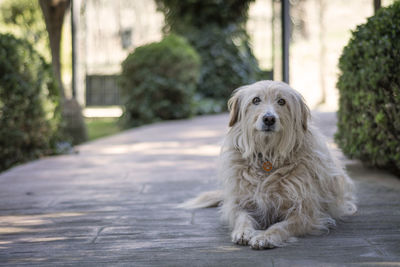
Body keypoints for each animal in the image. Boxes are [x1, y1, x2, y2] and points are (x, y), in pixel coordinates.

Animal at [181, 81, 356, 249]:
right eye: (256, 100)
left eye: (282, 101)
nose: (269, 119)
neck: (268, 156)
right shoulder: (239, 203)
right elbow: (242, 217)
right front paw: (244, 232)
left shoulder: (305, 214)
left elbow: (281, 226)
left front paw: (265, 236)